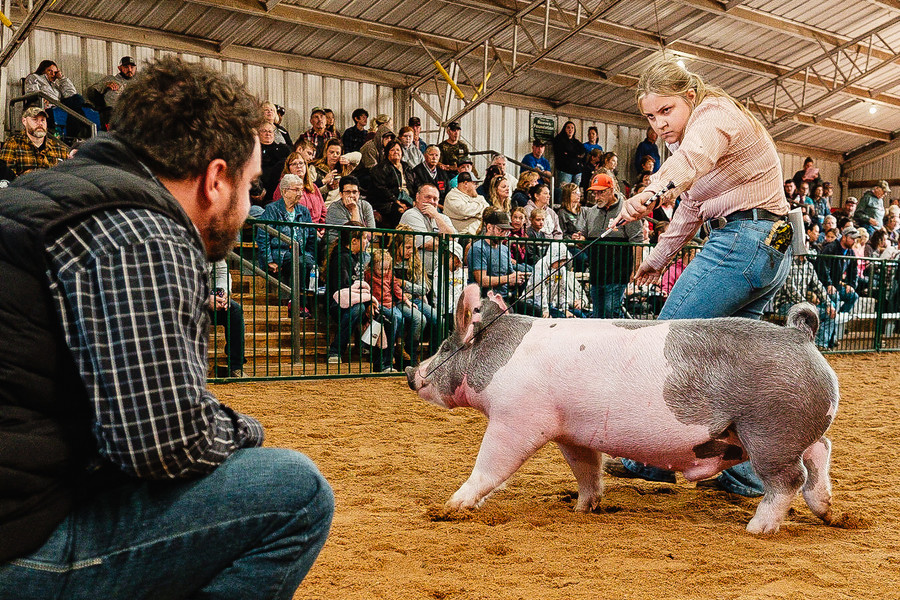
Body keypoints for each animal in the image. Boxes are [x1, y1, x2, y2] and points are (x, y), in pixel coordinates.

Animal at [408, 284, 836, 536]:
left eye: (445, 346)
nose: (412, 373)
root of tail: (800, 335)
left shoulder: (517, 419)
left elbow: (491, 465)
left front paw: (448, 508)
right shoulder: (570, 432)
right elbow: (586, 469)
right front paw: (583, 508)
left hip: (770, 429)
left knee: (789, 478)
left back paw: (757, 529)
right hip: (787, 432)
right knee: (821, 450)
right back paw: (831, 514)